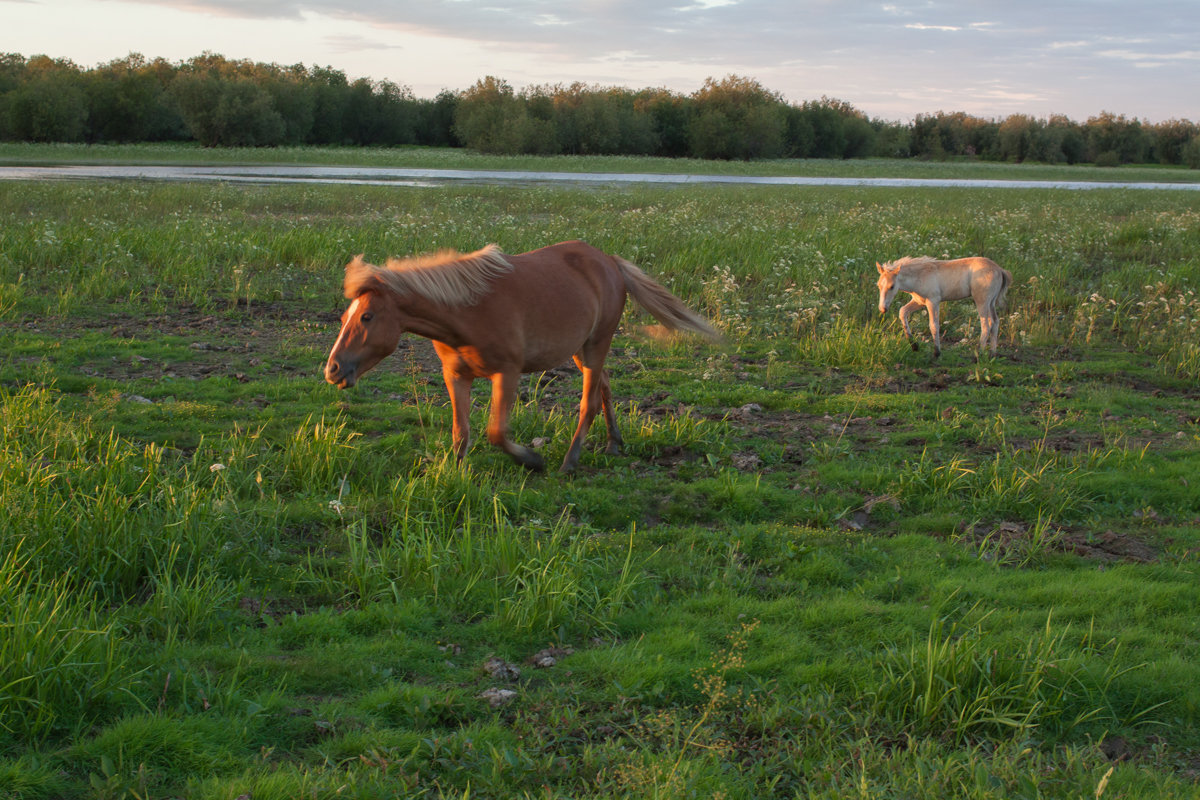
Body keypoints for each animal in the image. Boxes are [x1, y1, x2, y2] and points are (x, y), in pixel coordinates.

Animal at [324, 241, 715, 472]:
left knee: (588, 401)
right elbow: (460, 431)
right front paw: (454, 472)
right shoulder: (456, 376)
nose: (332, 369)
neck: (466, 310)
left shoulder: (507, 374)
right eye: (343, 318)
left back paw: (569, 463)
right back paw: (613, 444)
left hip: (596, 345)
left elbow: (497, 432)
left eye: (367, 316)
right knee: (604, 386)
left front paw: (532, 460)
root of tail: (610, 262)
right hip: (580, 349)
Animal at [878, 256, 1008, 357]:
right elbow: (902, 312)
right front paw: (914, 345)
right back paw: (992, 353)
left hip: (982, 301)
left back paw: (979, 354)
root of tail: (999, 269)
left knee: (986, 325)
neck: (920, 275)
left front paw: (937, 352)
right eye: (879, 285)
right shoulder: (919, 302)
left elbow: (934, 325)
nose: (883, 309)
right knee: (995, 322)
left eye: (892, 286)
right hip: (991, 302)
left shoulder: (933, 302)